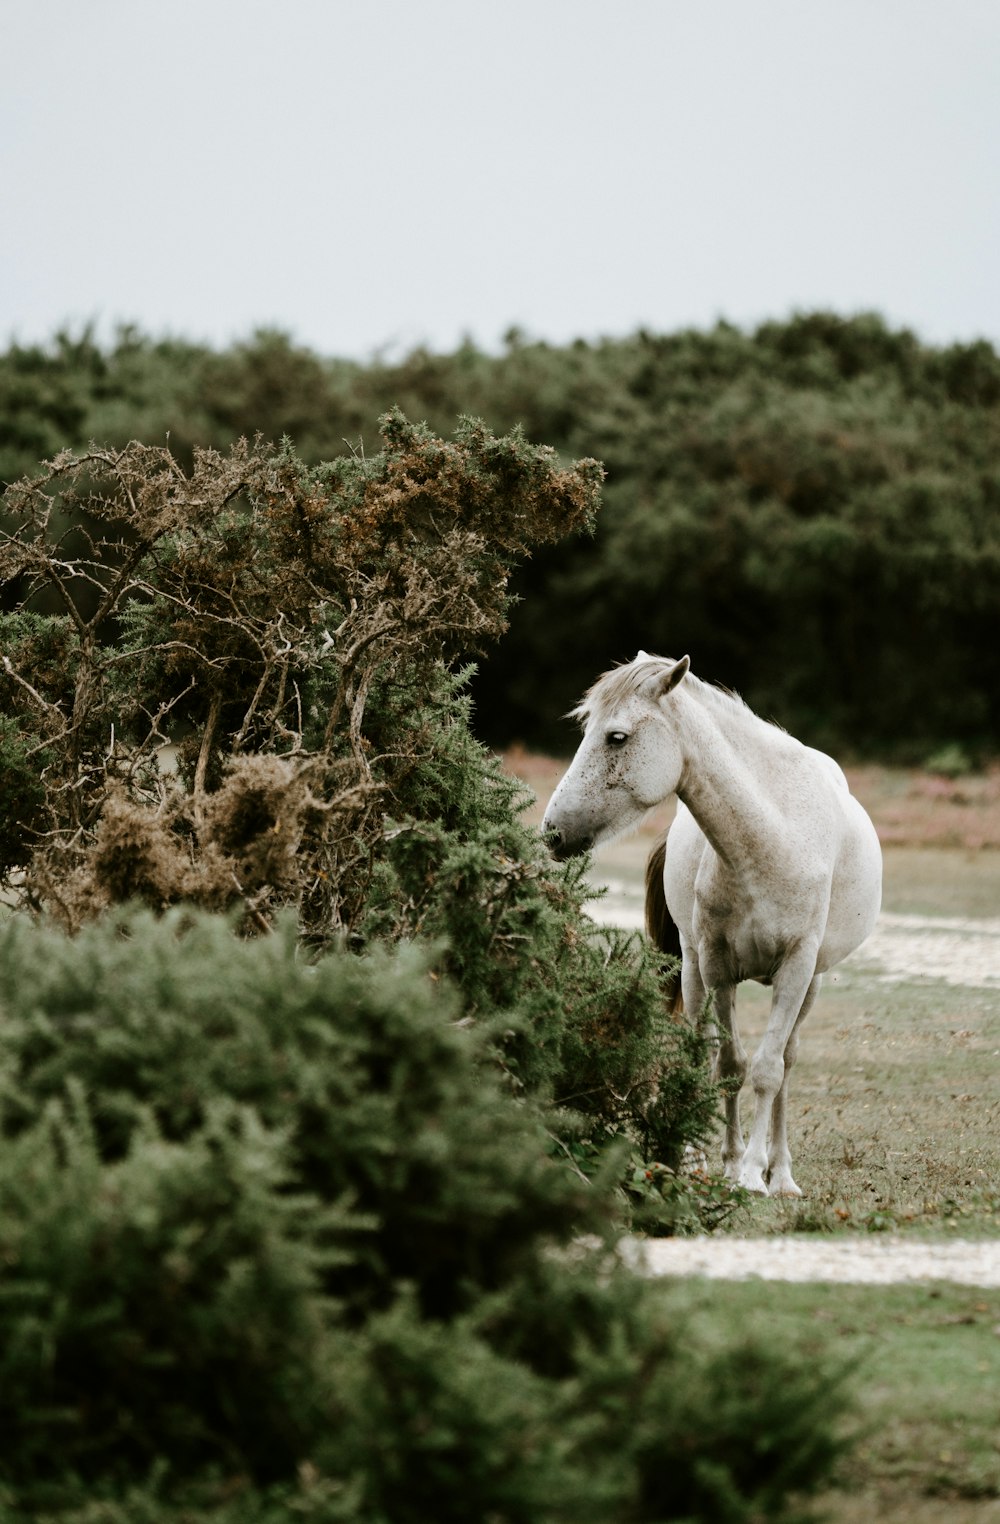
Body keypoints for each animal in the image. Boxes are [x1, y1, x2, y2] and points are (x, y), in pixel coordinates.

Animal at [542, 649, 878, 1194]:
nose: (552, 832)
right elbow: (727, 1065)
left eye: (617, 737)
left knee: (786, 1061)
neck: (773, 838)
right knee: (710, 1053)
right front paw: (725, 1163)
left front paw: (754, 1174)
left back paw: (782, 1174)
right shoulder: (718, 967)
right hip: (697, 969)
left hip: (811, 983)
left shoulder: (797, 966)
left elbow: (767, 1070)